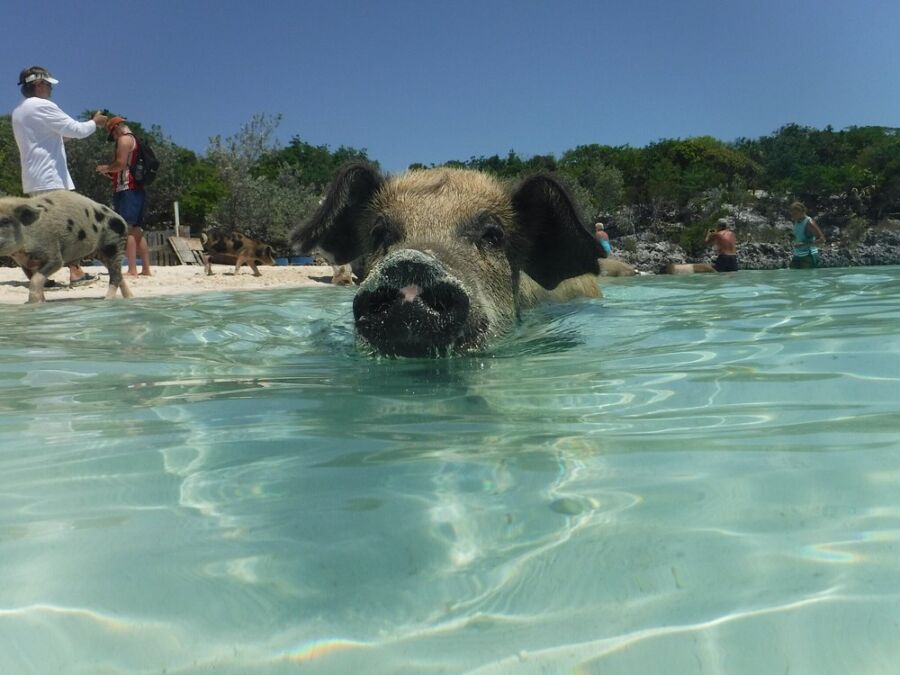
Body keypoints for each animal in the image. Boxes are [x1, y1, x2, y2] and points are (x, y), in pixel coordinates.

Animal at [0, 190, 131, 303]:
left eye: (5, 221)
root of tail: (123, 220)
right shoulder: (25, 264)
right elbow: (36, 280)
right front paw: (41, 302)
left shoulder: (53, 253)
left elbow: (37, 279)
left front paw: (34, 303)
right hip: (101, 252)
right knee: (119, 276)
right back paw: (130, 298)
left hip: (114, 245)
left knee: (116, 277)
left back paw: (107, 300)